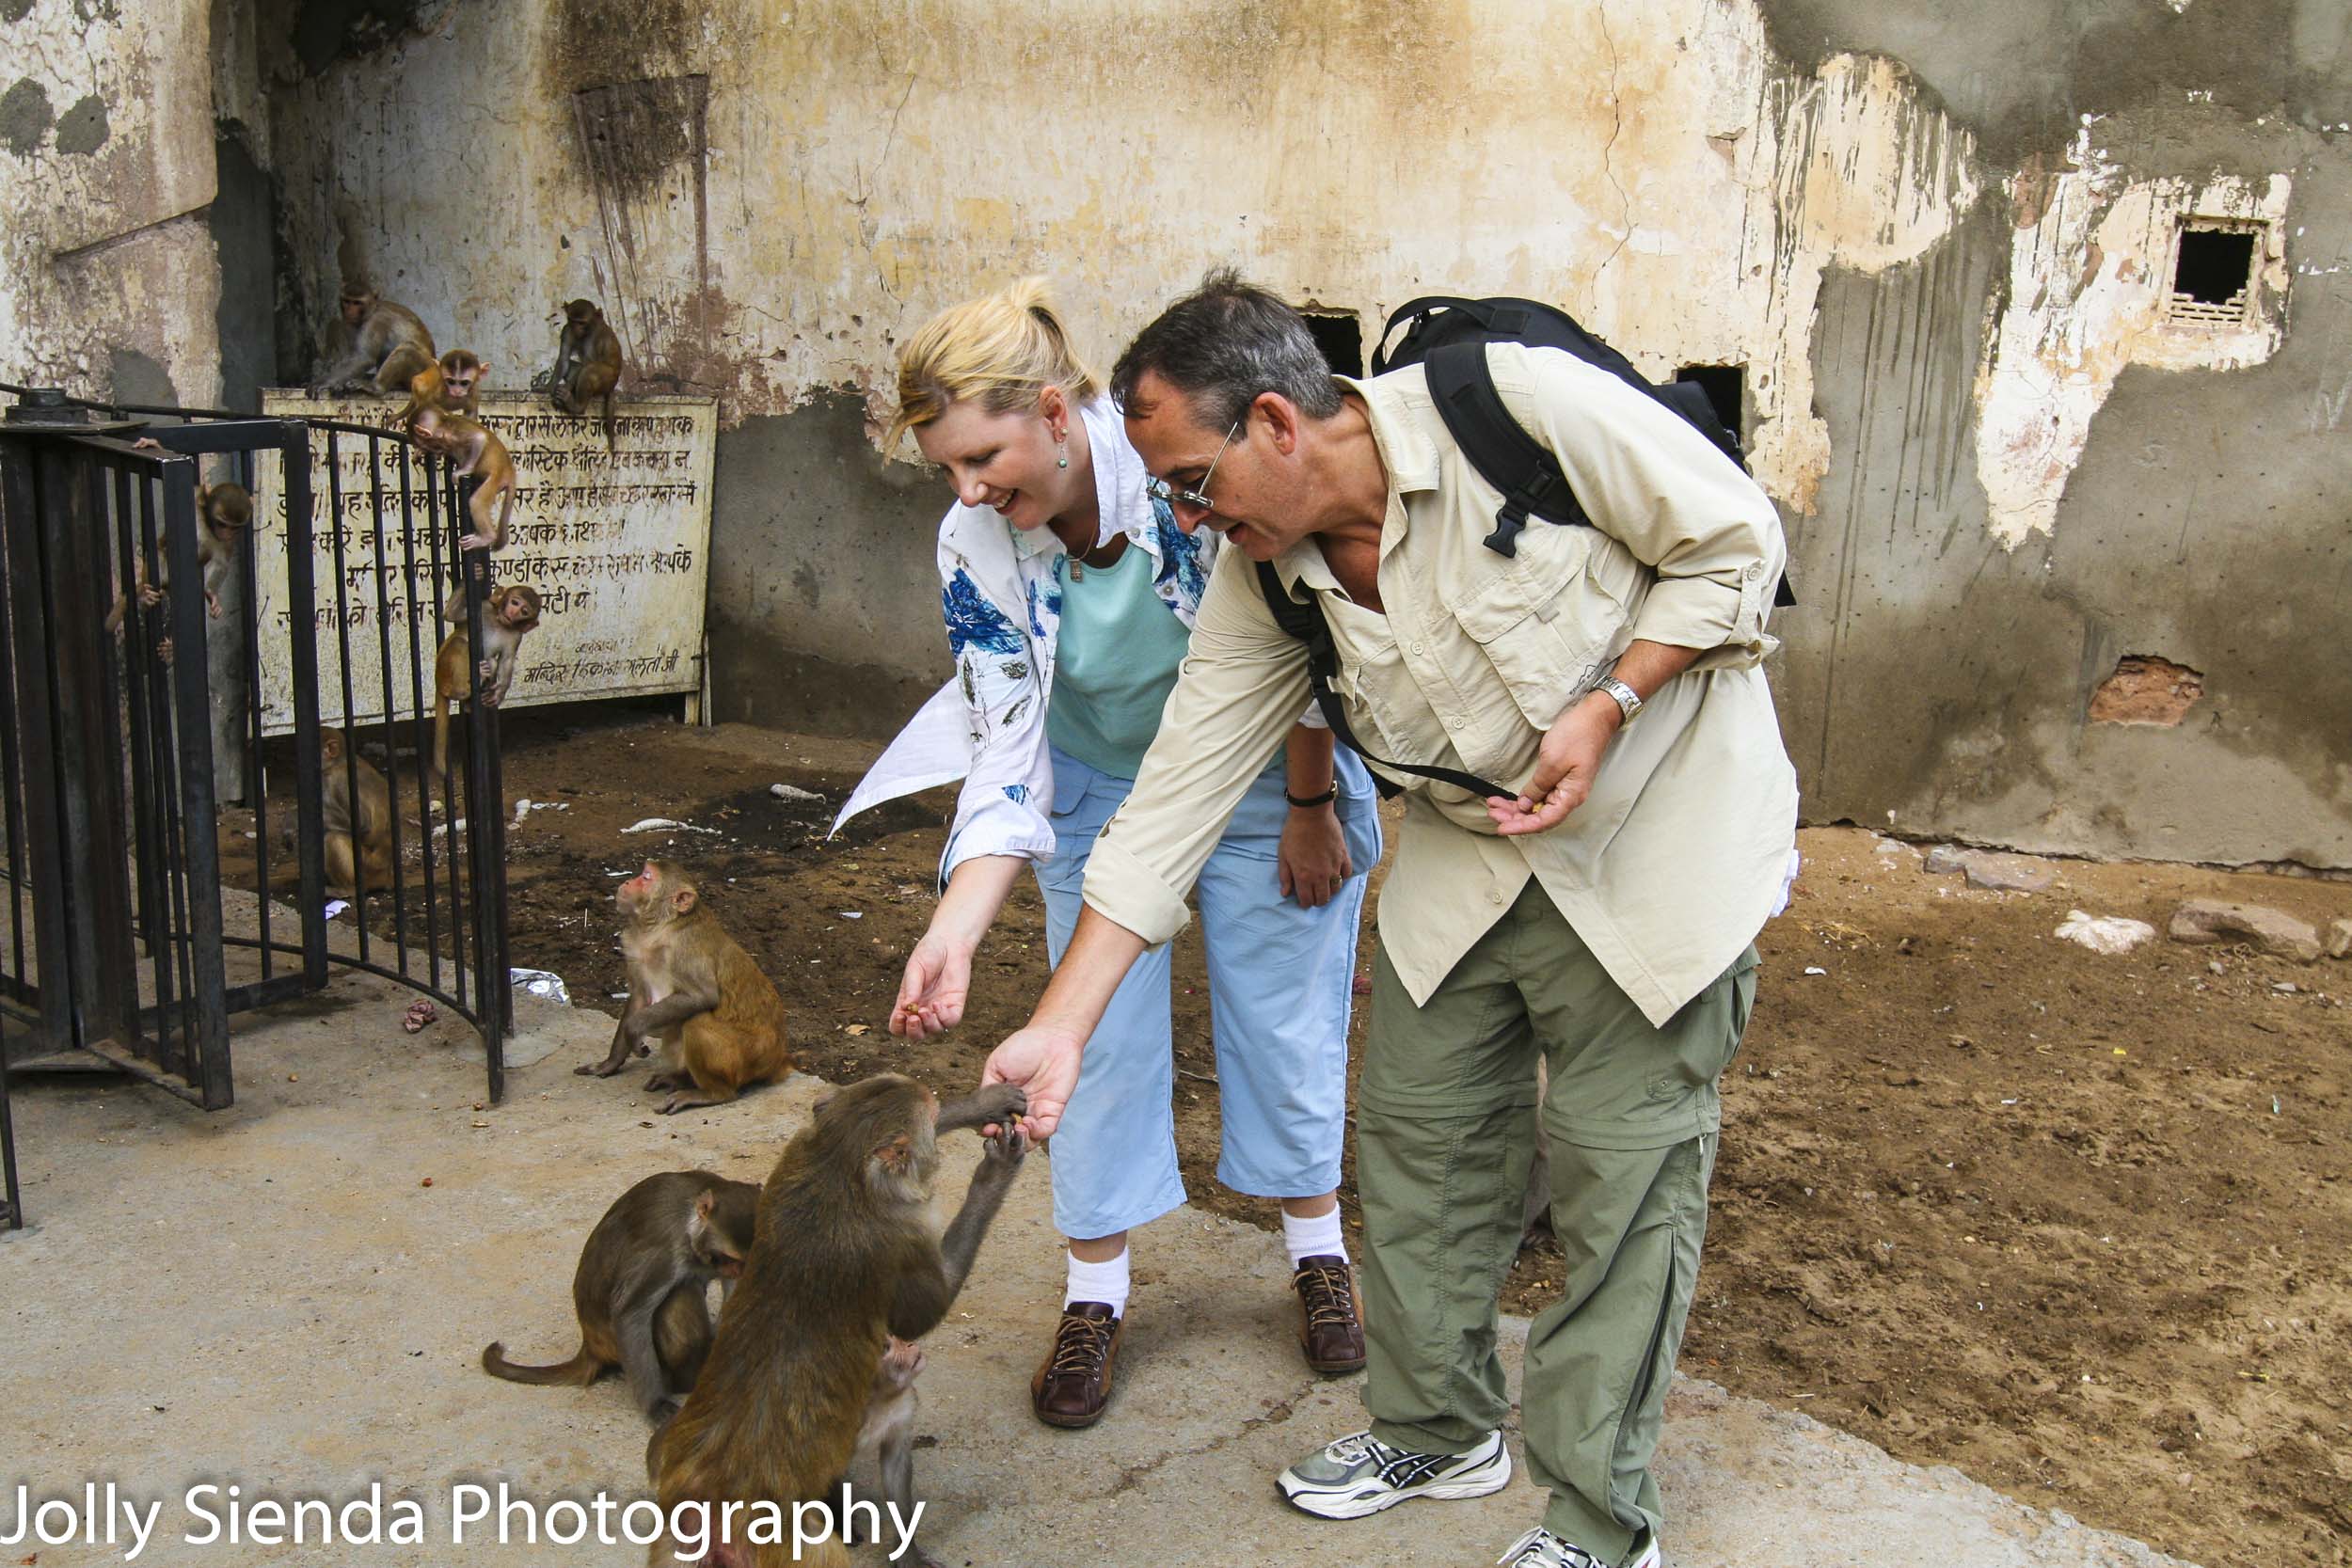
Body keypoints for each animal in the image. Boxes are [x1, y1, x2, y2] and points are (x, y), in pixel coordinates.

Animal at [312, 286, 437, 399]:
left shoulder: (375, 320)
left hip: (424, 373)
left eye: (357, 303)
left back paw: (376, 386)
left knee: (407, 348)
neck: (373, 308)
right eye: (347, 301)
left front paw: (321, 383)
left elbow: (363, 358)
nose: (349, 311)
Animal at [485, 1170, 757, 1429]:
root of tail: (591, 1344)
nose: (740, 1270)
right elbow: (629, 1314)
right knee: (681, 1294)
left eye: (745, 1260)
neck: (691, 1225)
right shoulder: (664, 1250)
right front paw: (655, 1405)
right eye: (729, 1257)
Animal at [585, 860, 800, 1114]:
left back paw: (713, 1094)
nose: (627, 881)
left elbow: (703, 997)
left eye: (646, 877)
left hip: (748, 1059)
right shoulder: (634, 949)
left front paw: (634, 1030)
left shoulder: (686, 949)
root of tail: (778, 1059)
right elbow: (638, 997)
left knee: (696, 1022)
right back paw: (678, 1079)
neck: (660, 928)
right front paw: (610, 1063)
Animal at [644, 1081, 1030, 1568]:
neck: (840, 1169)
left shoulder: (797, 1153)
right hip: (788, 1547)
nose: (937, 1099)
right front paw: (994, 1173)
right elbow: (921, 1315)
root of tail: (706, 1505)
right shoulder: (901, 1234)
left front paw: (986, 1102)